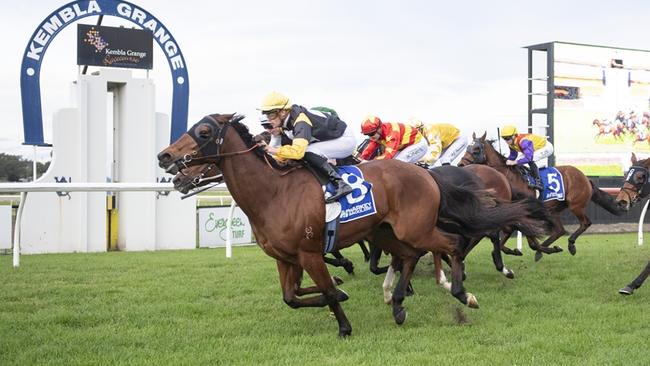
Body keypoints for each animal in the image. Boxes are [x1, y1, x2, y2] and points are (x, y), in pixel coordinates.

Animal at [157, 114, 548, 338]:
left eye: (203, 130)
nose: (165, 156)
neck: (273, 193)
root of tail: (428, 175)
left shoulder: (309, 253)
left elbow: (327, 293)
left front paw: (344, 325)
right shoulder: (285, 258)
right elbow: (291, 298)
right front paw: (344, 286)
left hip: (414, 229)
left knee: (451, 244)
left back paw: (461, 291)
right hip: (388, 231)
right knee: (410, 256)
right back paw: (399, 302)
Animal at [458, 133, 620, 262]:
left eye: (476, 149)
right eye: (467, 148)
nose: (460, 165)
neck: (508, 178)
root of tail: (585, 177)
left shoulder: (524, 212)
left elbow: (526, 238)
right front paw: (515, 250)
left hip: (576, 205)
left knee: (585, 223)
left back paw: (570, 244)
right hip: (553, 209)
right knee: (560, 230)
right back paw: (543, 250)